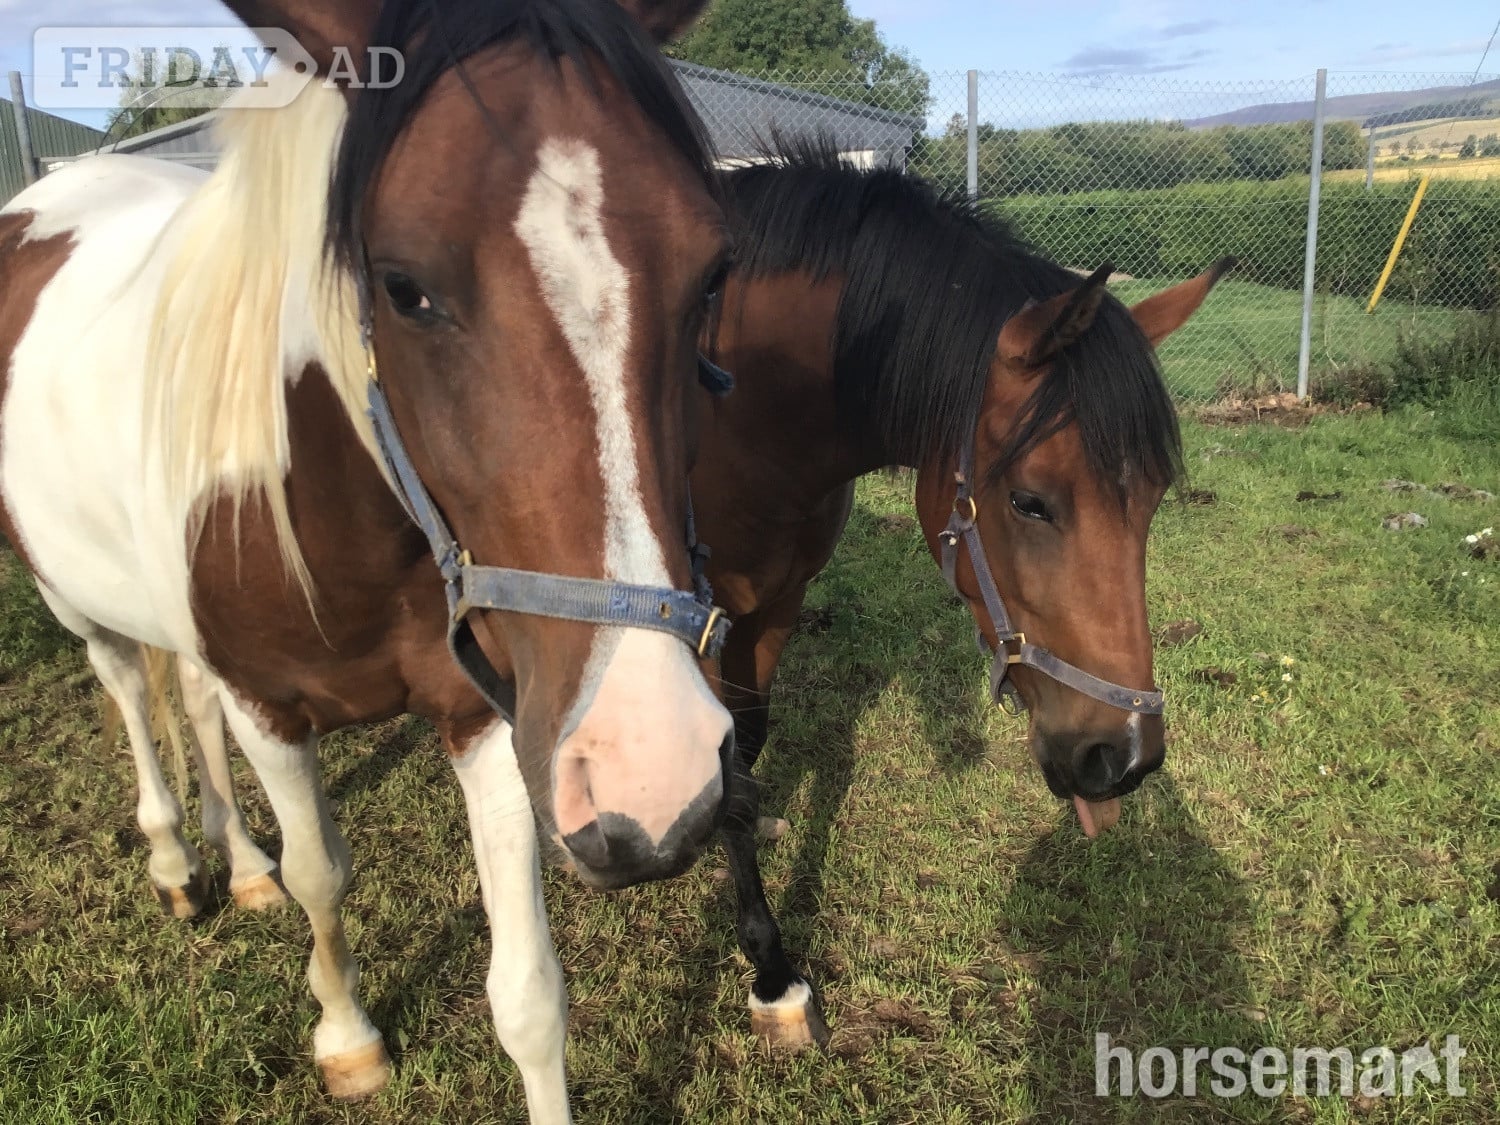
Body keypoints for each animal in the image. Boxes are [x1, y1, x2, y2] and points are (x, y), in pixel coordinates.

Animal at [0, 0, 735, 1117]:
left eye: (711, 276)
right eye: (404, 287)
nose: (654, 772)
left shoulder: (485, 711)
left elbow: (529, 992)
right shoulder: (272, 707)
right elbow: (324, 877)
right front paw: (347, 1039)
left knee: (191, 710)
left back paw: (238, 860)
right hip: (74, 600)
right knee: (128, 689)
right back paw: (175, 857)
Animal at [691, 141, 1231, 1047]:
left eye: (1156, 498)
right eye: (1030, 500)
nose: (1123, 758)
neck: (724, 408)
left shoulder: (776, 604)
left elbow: (747, 751)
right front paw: (770, 972)